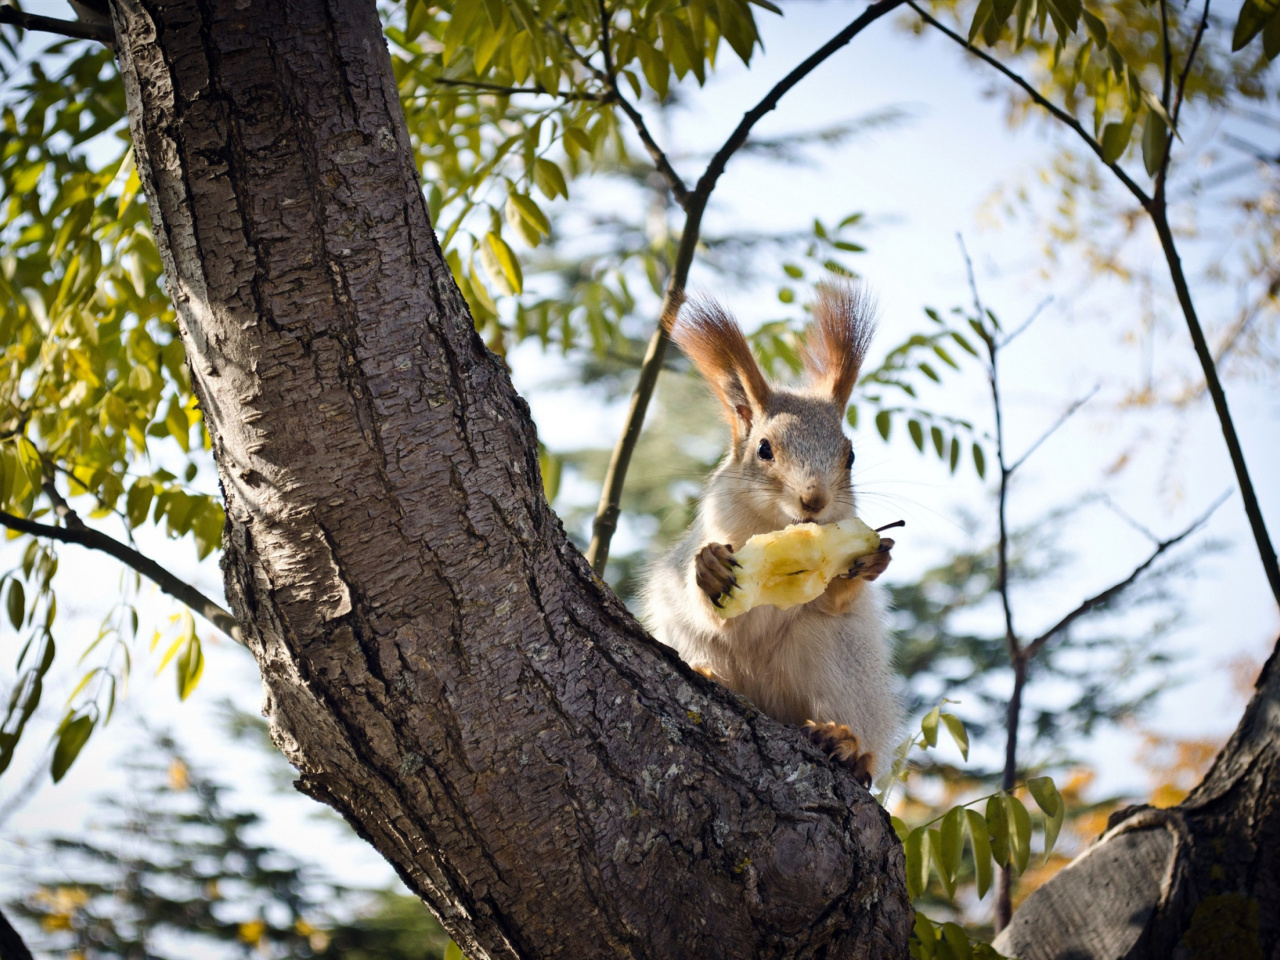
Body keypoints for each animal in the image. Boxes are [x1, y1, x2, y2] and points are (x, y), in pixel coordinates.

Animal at [640, 288, 901, 788]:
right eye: (764, 449)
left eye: (850, 456)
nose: (813, 500)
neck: (776, 525)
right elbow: (716, 610)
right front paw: (709, 569)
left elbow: (834, 599)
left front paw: (872, 563)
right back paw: (709, 673)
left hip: (840, 659)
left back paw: (848, 745)